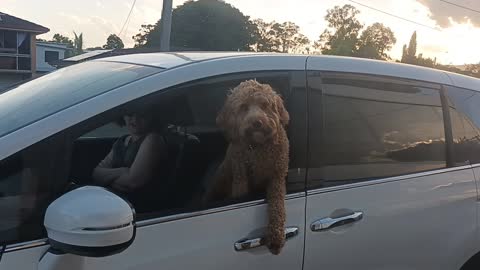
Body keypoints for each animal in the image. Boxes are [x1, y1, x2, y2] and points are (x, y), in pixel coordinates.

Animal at [202, 79, 288, 254]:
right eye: (243, 107)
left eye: (264, 105)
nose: (257, 123)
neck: (258, 147)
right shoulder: (240, 175)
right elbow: (240, 193)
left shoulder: (276, 176)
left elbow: (277, 205)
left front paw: (276, 237)